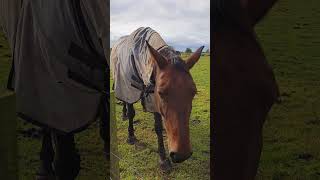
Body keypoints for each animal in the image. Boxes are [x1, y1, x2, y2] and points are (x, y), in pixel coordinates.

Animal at [111, 27, 204, 172]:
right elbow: (133, 113)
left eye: (193, 92)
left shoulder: (152, 99)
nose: (181, 155)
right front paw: (131, 136)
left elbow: (158, 127)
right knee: (125, 102)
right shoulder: (131, 90)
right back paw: (124, 114)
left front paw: (162, 157)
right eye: (161, 92)